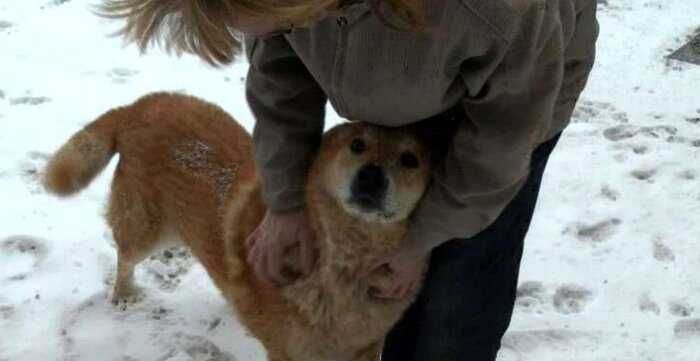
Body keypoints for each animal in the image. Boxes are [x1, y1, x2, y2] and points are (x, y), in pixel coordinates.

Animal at [43, 92, 432, 360]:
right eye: (357, 145)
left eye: (410, 160)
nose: (371, 177)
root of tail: (145, 103)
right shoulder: (289, 350)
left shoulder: (366, 345)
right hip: (148, 230)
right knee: (125, 254)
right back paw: (124, 292)